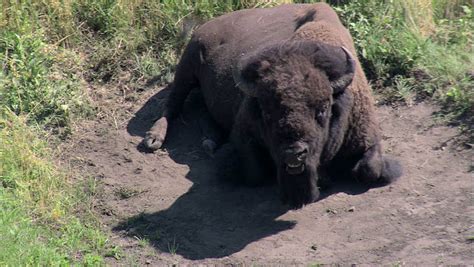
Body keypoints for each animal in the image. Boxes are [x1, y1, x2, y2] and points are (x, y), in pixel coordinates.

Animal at [143, 3, 400, 209]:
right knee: (172, 104)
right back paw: (153, 138)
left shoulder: (368, 137)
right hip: (187, 65)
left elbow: (370, 169)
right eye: (266, 112)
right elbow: (254, 173)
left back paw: (210, 141)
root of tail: (206, 25)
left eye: (323, 109)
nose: (293, 154)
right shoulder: (243, 135)